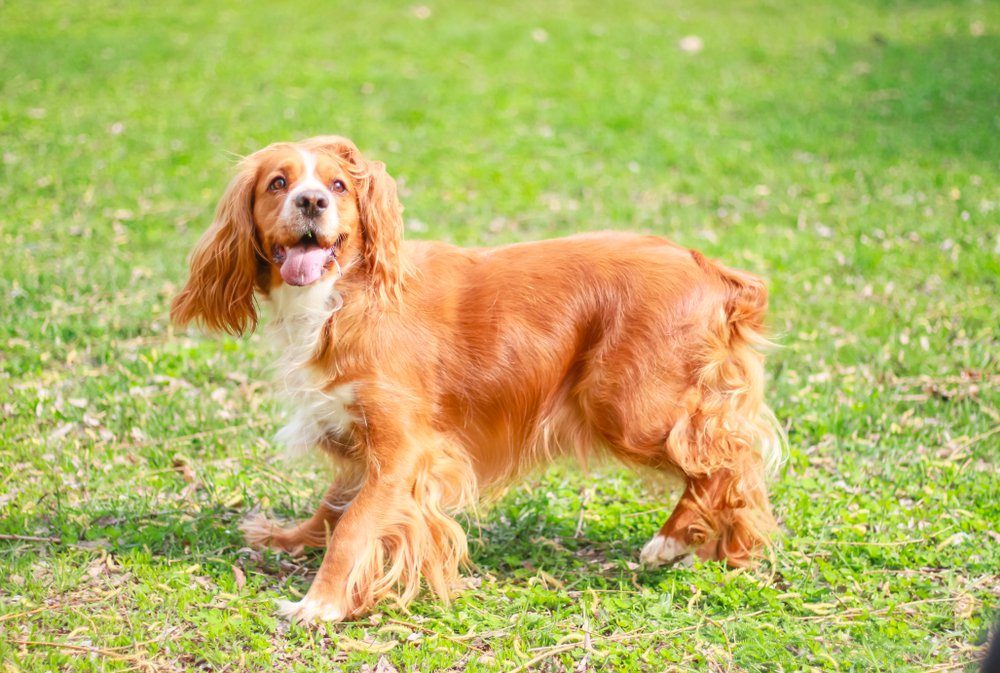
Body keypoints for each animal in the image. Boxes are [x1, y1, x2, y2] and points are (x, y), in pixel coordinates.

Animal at [170, 136, 780, 624]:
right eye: (279, 183)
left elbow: (355, 525)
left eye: (337, 186)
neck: (345, 295)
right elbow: (335, 504)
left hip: (627, 405)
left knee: (729, 460)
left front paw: (320, 603)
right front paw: (289, 538)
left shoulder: (405, 449)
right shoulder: (362, 434)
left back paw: (672, 539)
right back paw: (724, 547)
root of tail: (710, 268)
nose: (312, 201)